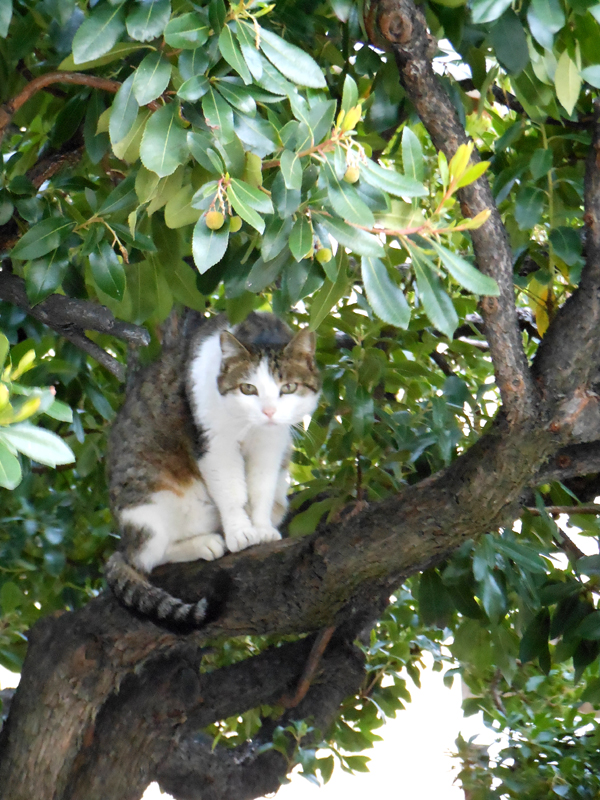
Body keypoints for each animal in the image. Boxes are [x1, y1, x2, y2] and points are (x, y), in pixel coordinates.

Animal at [106, 310, 324, 628]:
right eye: (248, 388)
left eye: (288, 388)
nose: (269, 412)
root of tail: (123, 542)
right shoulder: (215, 443)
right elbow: (232, 492)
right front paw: (241, 532)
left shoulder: (270, 444)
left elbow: (260, 490)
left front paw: (260, 528)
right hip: (150, 502)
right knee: (148, 557)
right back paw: (203, 543)